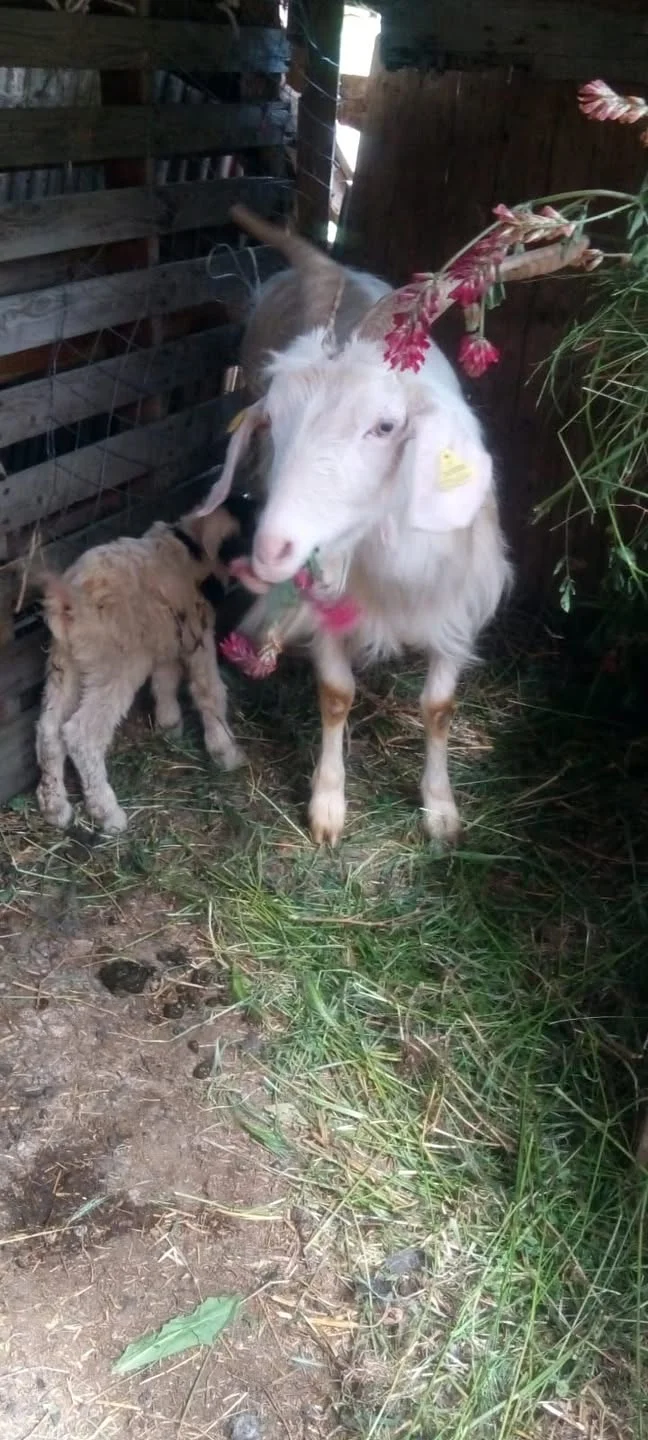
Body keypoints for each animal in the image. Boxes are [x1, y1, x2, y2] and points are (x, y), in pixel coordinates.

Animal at [35, 498, 257, 834]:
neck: (192, 545)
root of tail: (68, 598)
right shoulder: (198, 636)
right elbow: (209, 690)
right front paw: (226, 752)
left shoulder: (167, 635)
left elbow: (165, 679)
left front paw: (169, 726)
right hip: (114, 665)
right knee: (82, 734)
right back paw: (107, 813)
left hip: (65, 661)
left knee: (48, 728)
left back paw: (55, 807)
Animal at [199, 206, 513, 846]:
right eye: (271, 423)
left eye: (386, 426)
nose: (273, 548)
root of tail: (329, 266)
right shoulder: (322, 605)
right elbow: (337, 695)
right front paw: (327, 804)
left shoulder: (458, 609)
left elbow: (438, 708)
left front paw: (440, 809)